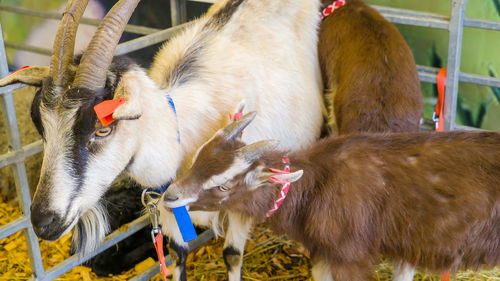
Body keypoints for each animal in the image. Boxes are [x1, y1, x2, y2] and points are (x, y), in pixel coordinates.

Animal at [0, 1, 322, 278]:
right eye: (41, 127)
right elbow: (177, 255)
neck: (181, 133)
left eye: (102, 130)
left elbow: (231, 254)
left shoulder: (244, 197)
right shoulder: (170, 211)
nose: (44, 222)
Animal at [164, 111, 500, 280]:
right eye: (198, 158)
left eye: (223, 185)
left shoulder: (350, 255)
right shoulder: (324, 252)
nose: (169, 197)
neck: (315, 184)